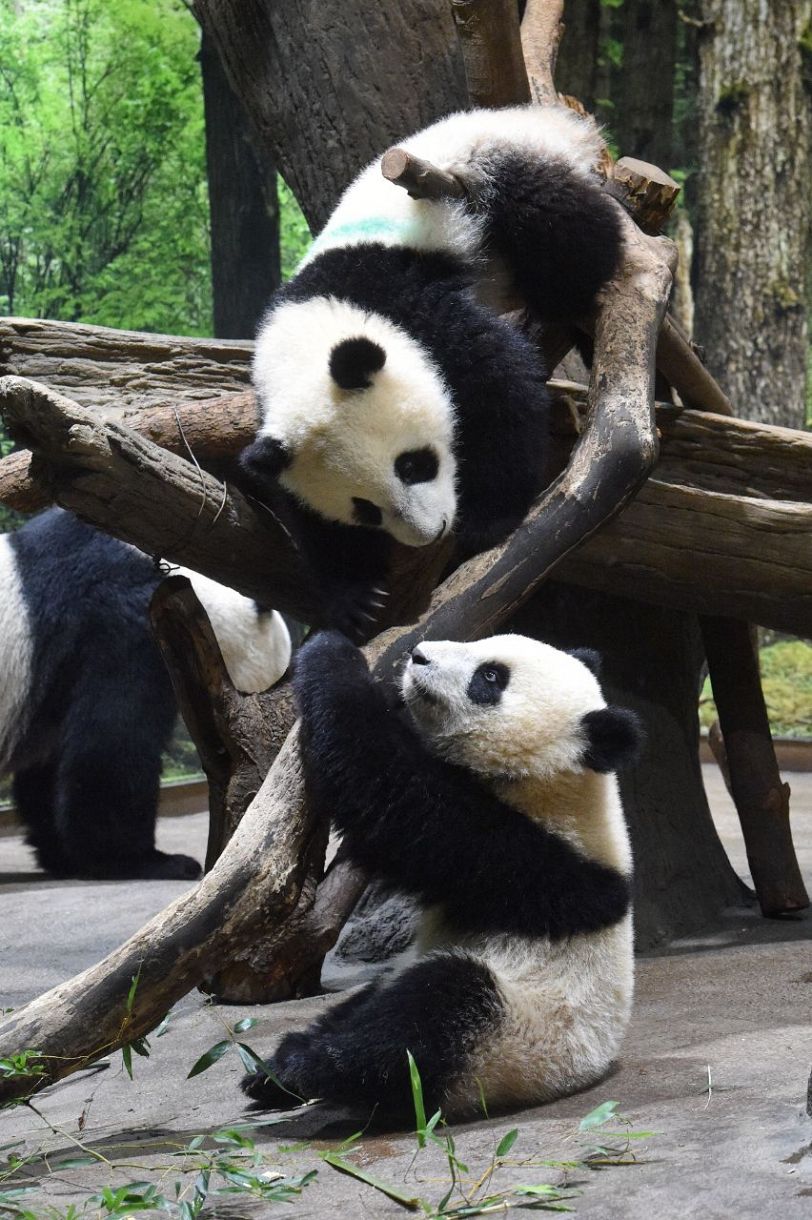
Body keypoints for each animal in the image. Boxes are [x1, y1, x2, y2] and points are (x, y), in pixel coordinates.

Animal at [238, 104, 619, 639]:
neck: (312, 324)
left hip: (492, 164)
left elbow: (497, 378)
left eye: (413, 465)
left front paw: (488, 520)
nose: (431, 532)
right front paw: (356, 597)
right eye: (364, 509)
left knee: (562, 227)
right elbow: (303, 512)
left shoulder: (401, 297)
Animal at [240, 634, 638, 1117]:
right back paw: (272, 1073)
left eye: (490, 677)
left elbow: (388, 788)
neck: (558, 785)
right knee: (369, 999)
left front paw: (332, 654)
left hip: (520, 1034)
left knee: (433, 1011)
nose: (419, 655)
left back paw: (311, 1067)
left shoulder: (524, 859)